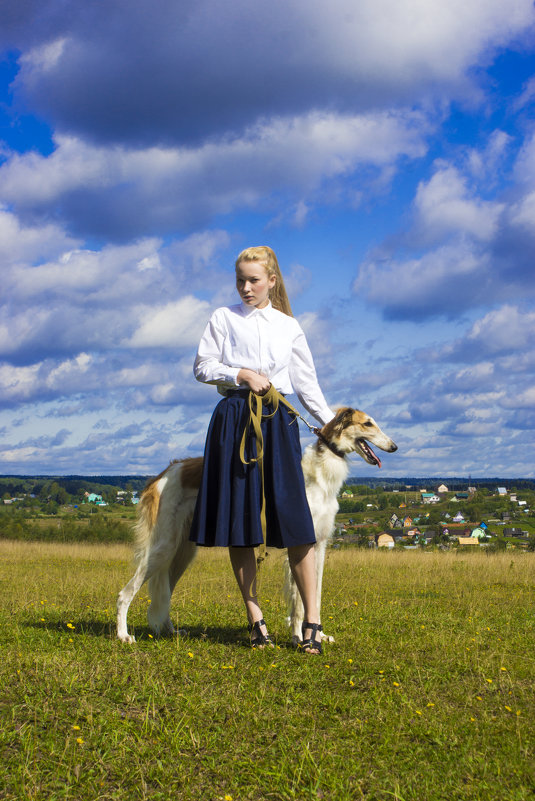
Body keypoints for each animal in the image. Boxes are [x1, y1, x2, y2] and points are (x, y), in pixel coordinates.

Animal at [119, 406, 400, 644]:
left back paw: (170, 630)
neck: (319, 475)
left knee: (165, 590)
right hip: (163, 547)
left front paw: (317, 635)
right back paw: (123, 635)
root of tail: (163, 474)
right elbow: (299, 600)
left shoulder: (320, 544)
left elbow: (315, 594)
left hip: (183, 552)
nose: (395, 446)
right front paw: (300, 637)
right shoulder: (300, 541)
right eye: (368, 423)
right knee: (126, 593)